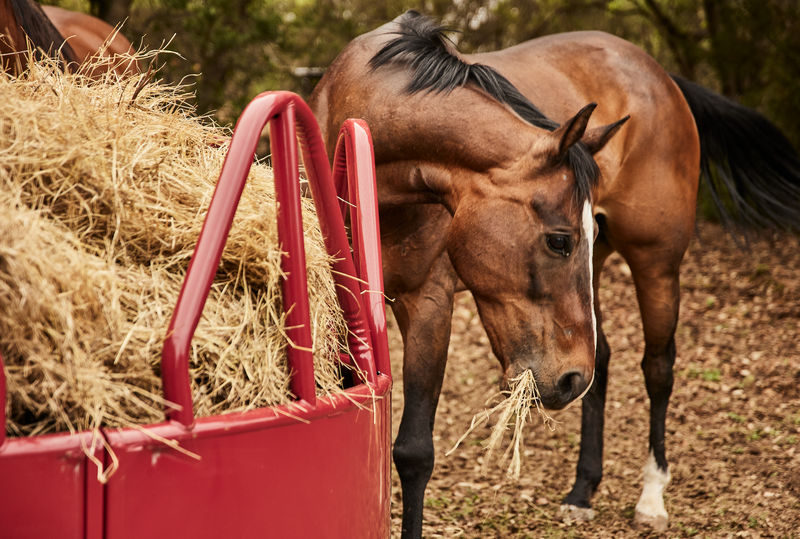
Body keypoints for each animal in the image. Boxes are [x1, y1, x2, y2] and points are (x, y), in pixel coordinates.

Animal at [309, 11, 800, 537]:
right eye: (561, 240)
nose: (567, 379)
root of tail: (660, 75)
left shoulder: (428, 304)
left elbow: (414, 451)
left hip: (657, 264)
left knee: (658, 367)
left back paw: (652, 495)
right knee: (602, 361)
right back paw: (583, 489)